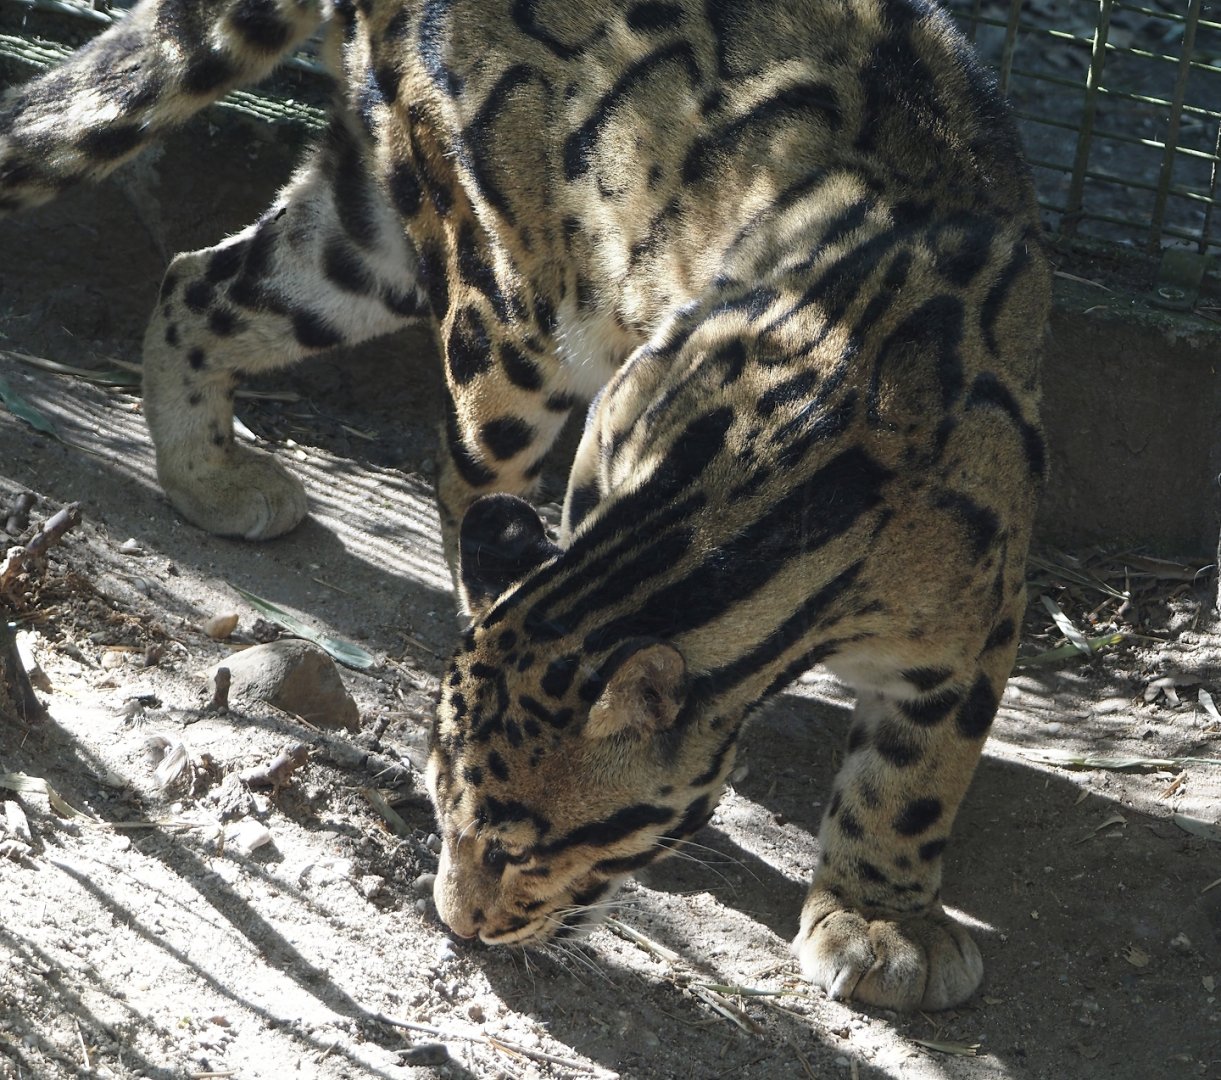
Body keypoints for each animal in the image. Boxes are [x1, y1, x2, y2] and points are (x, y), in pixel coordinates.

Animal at [0, 0, 1050, 1011]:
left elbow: (914, 775)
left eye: (521, 849)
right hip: (496, 282)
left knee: (198, 275)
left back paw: (208, 478)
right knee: (453, 456)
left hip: (364, 241)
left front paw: (881, 920)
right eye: (439, 809)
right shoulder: (613, 423)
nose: (457, 924)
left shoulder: (981, 613)